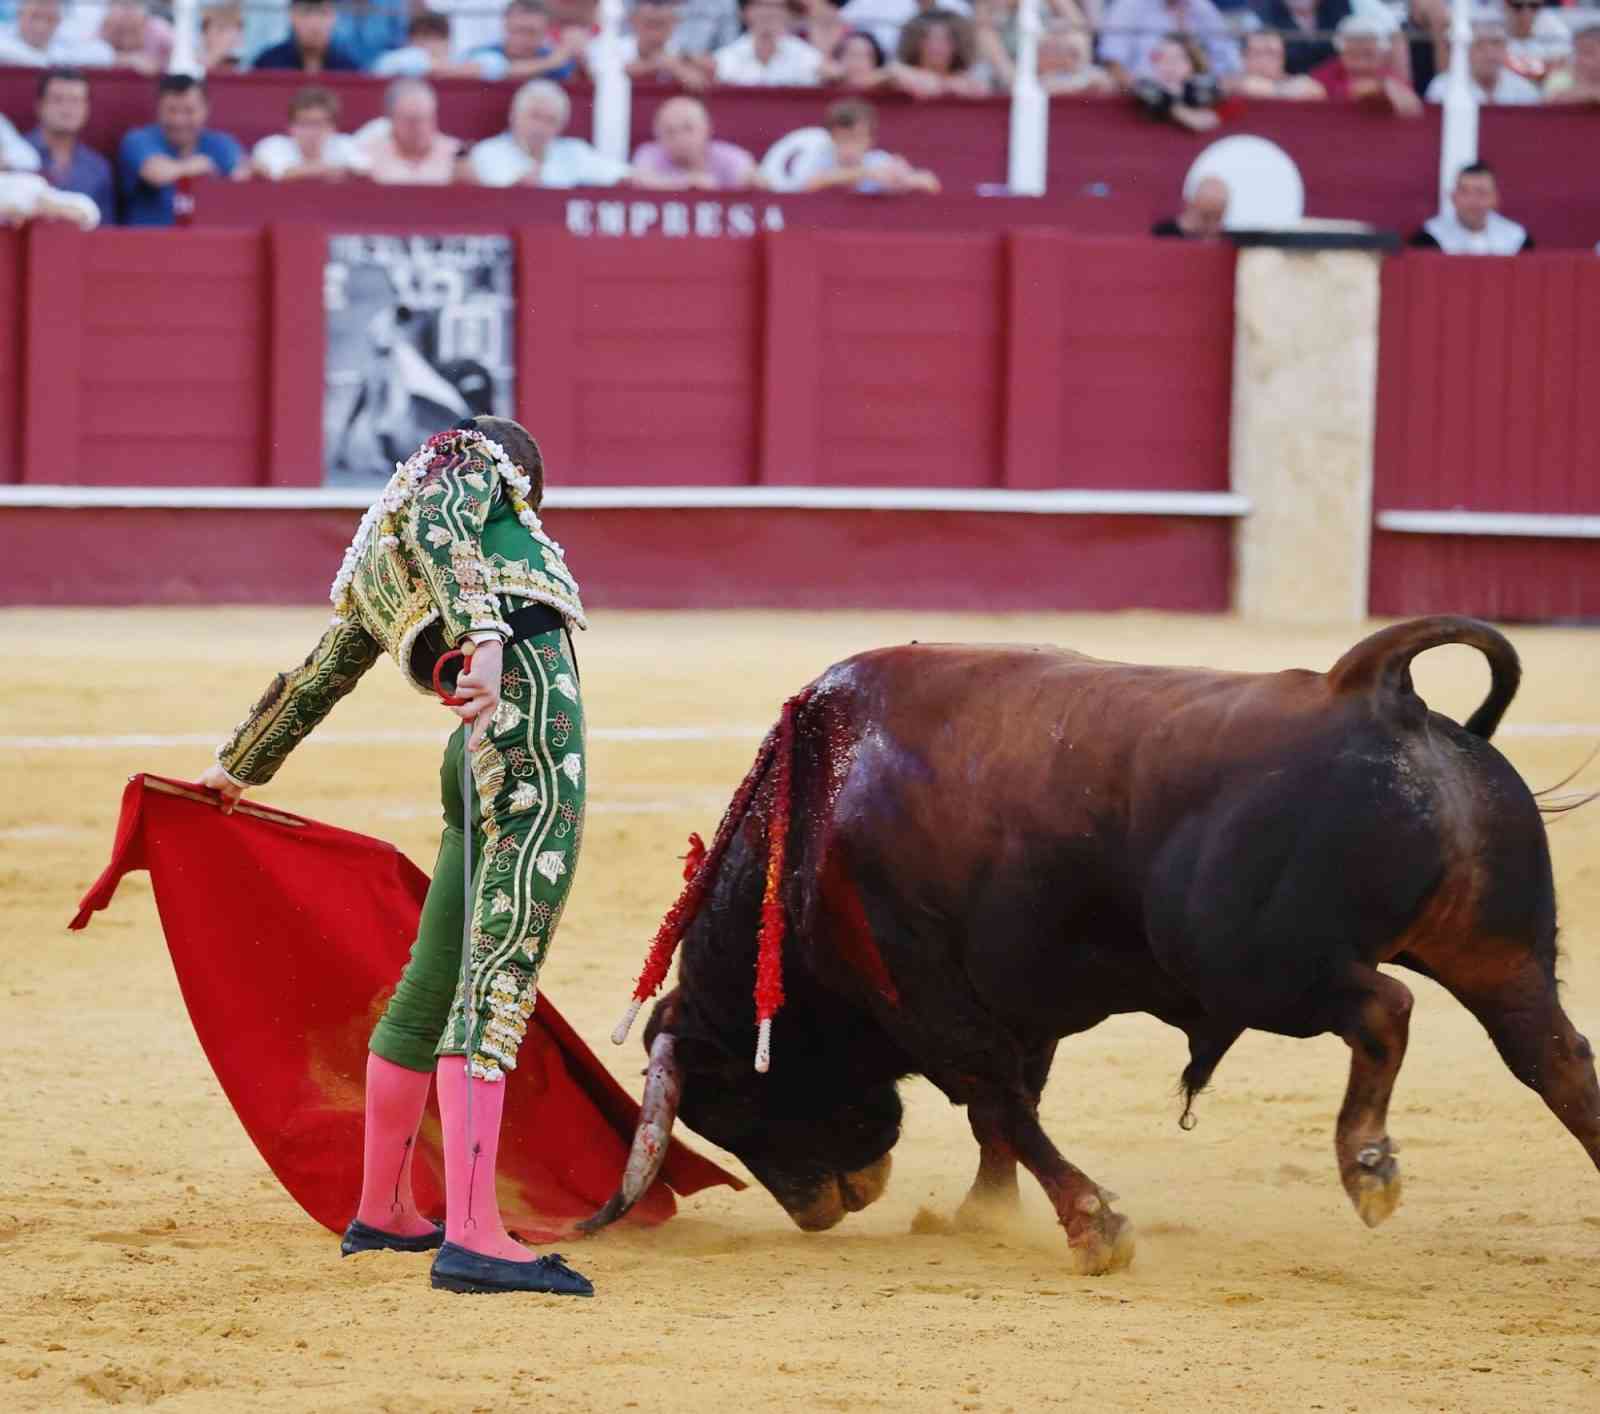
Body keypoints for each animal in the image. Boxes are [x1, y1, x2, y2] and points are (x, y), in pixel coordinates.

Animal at [582, 617, 1598, 1274]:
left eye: (731, 1103)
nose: (821, 1210)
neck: (805, 836)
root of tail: (1370, 687)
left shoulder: (931, 998)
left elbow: (998, 1099)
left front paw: (1092, 1226)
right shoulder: (1017, 1005)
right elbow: (1008, 1109)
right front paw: (982, 1215)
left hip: (1260, 968)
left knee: (1388, 1009)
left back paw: (1367, 1163)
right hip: (1497, 954)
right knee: (1555, 1057)